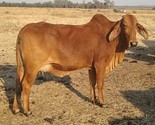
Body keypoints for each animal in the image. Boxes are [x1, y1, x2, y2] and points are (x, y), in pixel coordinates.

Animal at [13, 13, 148, 116]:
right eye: (124, 25)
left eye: (136, 25)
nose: (134, 43)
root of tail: (24, 29)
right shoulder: (100, 64)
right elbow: (100, 84)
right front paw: (102, 102)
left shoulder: (91, 66)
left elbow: (92, 82)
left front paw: (93, 99)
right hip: (32, 68)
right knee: (25, 85)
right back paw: (27, 111)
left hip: (22, 68)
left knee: (18, 84)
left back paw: (16, 109)